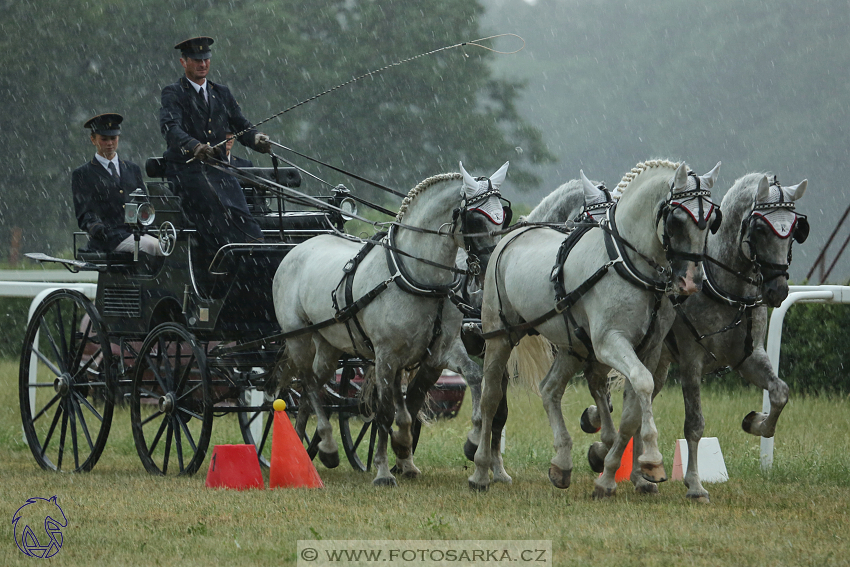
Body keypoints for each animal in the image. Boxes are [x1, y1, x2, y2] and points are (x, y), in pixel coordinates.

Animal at [274, 163, 504, 488]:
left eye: (502, 215)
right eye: (475, 217)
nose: (491, 264)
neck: (417, 277)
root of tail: (299, 247)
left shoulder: (440, 350)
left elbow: (471, 378)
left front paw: (466, 441)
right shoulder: (384, 356)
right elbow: (383, 411)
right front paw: (383, 471)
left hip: (330, 347)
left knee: (313, 387)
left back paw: (303, 448)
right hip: (299, 338)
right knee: (306, 382)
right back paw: (328, 445)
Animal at [468, 160, 720, 496]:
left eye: (711, 221)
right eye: (677, 219)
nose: (691, 281)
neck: (627, 263)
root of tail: (513, 234)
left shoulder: (649, 349)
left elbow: (632, 412)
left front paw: (609, 476)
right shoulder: (609, 343)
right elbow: (643, 384)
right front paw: (652, 459)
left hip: (572, 346)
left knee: (550, 389)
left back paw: (562, 463)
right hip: (500, 337)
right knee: (491, 398)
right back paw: (482, 471)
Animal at [584, 172, 808, 502]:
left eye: (794, 231)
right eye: (759, 228)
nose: (778, 291)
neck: (727, 290)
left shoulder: (750, 357)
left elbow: (780, 392)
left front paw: (755, 422)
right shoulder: (691, 361)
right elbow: (694, 424)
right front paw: (695, 485)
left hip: (658, 364)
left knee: (635, 407)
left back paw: (639, 475)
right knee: (608, 395)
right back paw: (606, 449)